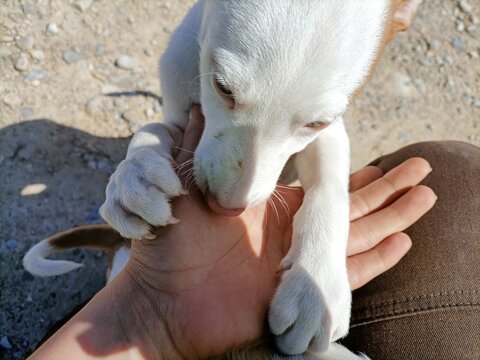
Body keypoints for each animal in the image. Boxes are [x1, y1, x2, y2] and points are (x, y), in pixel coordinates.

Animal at [24, 1, 418, 358]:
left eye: (316, 123)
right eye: (223, 87)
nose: (228, 207)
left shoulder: (331, 133)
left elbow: (330, 189)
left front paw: (315, 284)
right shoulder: (180, 113)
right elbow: (149, 129)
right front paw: (133, 177)